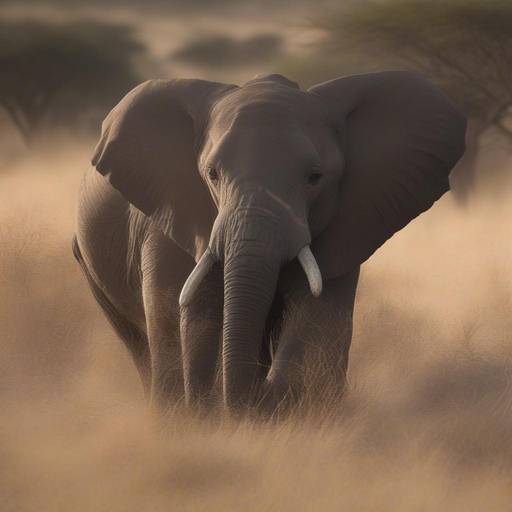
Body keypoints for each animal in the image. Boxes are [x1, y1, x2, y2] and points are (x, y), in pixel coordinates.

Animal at [73, 71, 468, 412]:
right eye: (212, 174)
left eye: (315, 177)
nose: (258, 391)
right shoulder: (174, 217)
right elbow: (194, 317)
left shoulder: (346, 222)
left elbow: (317, 321)